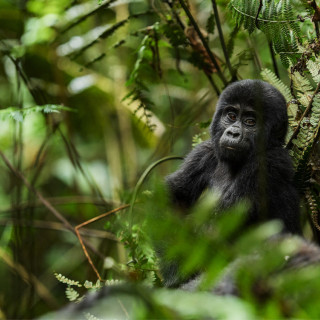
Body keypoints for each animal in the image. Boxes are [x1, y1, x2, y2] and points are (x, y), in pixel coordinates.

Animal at [164, 80, 302, 288]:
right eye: (231, 116)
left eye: (250, 121)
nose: (233, 132)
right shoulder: (205, 151)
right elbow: (173, 196)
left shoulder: (267, 164)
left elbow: (217, 227)